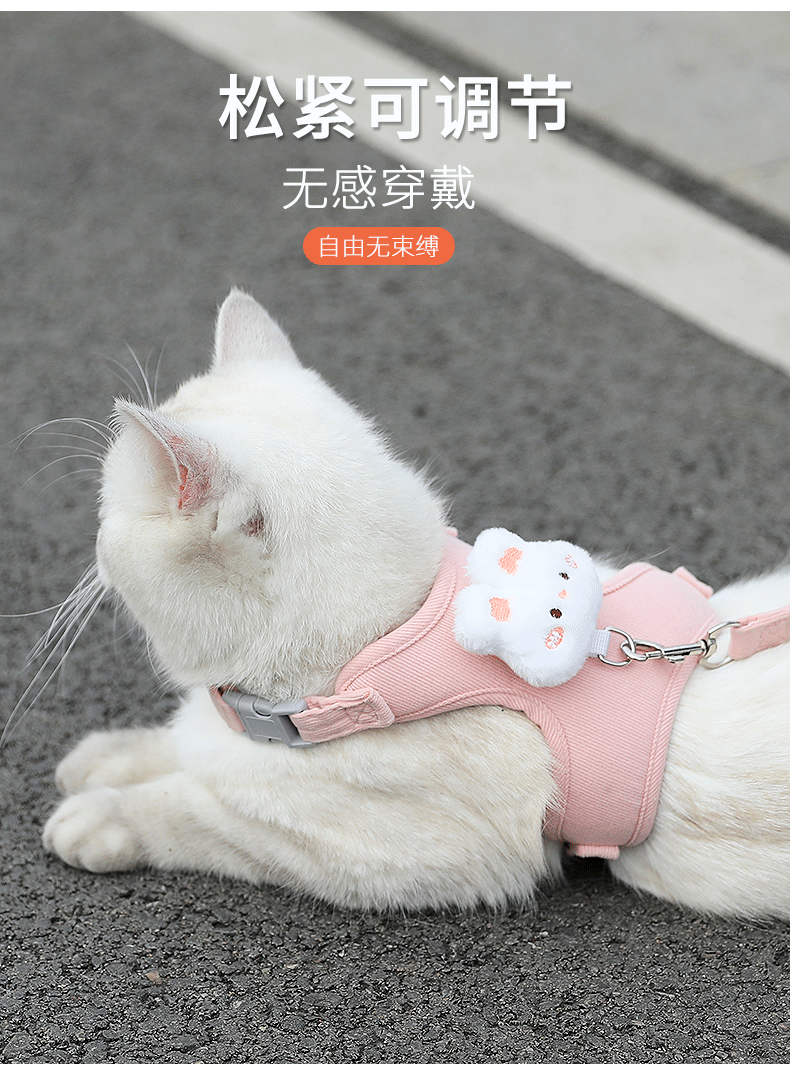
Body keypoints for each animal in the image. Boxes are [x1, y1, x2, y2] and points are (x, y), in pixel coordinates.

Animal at [40, 289, 790, 916]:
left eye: (109, 508)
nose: (93, 537)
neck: (383, 647)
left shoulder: (404, 855)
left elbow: (203, 815)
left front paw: (105, 815)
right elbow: (179, 747)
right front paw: (110, 757)